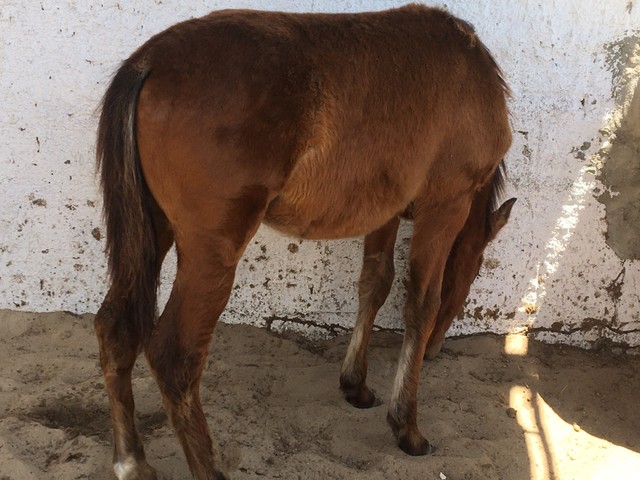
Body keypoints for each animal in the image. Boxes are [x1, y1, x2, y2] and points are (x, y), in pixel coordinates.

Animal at [95, 4, 512, 480]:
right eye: (476, 270)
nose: (437, 351)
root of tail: (149, 62)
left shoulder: (383, 212)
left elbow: (374, 284)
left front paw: (356, 384)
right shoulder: (446, 207)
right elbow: (421, 304)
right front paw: (406, 425)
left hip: (155, 230)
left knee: (115, 329)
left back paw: (131, 461)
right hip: (211, 250)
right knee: (174, 356)